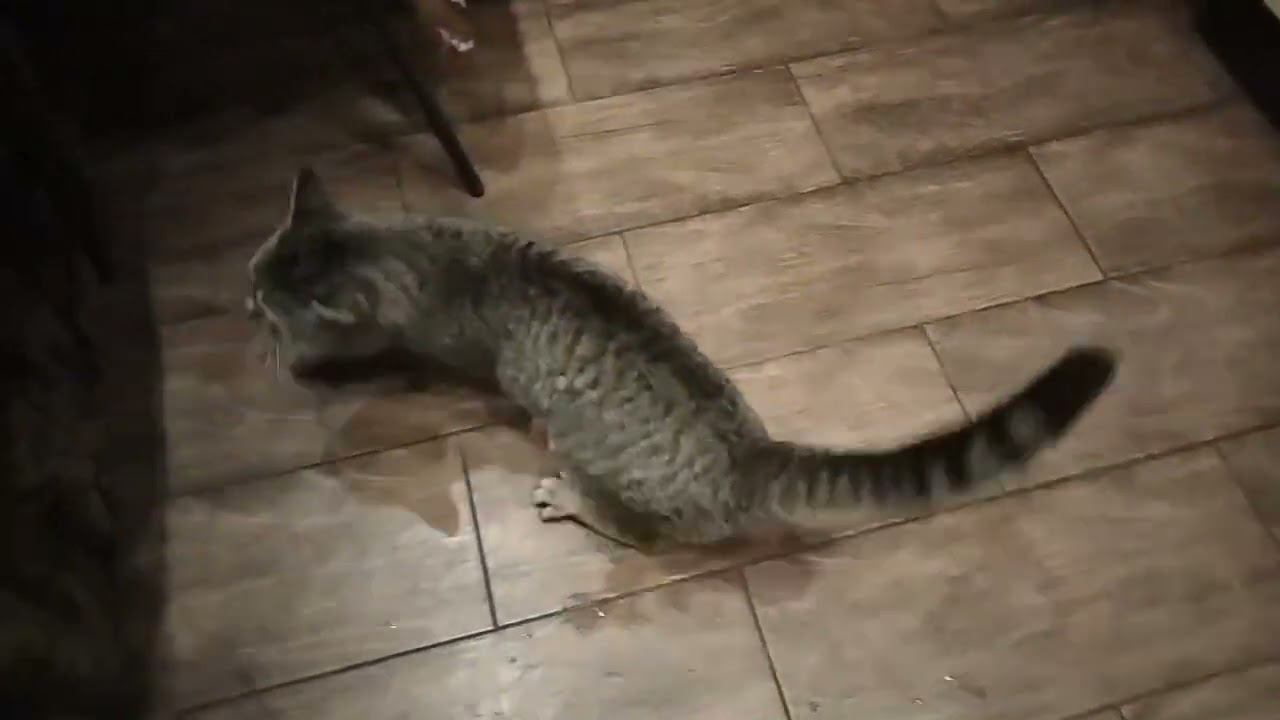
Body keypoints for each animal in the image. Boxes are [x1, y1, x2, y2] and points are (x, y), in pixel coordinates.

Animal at [246, 167, 1117, 550]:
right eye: (253, 275)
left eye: (264, 297)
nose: (244, 302)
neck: (418, 249)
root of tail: (755, 454)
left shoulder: (425, 342)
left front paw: (305, 360)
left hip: (593, 454)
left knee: (648, 536)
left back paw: (570, 498)